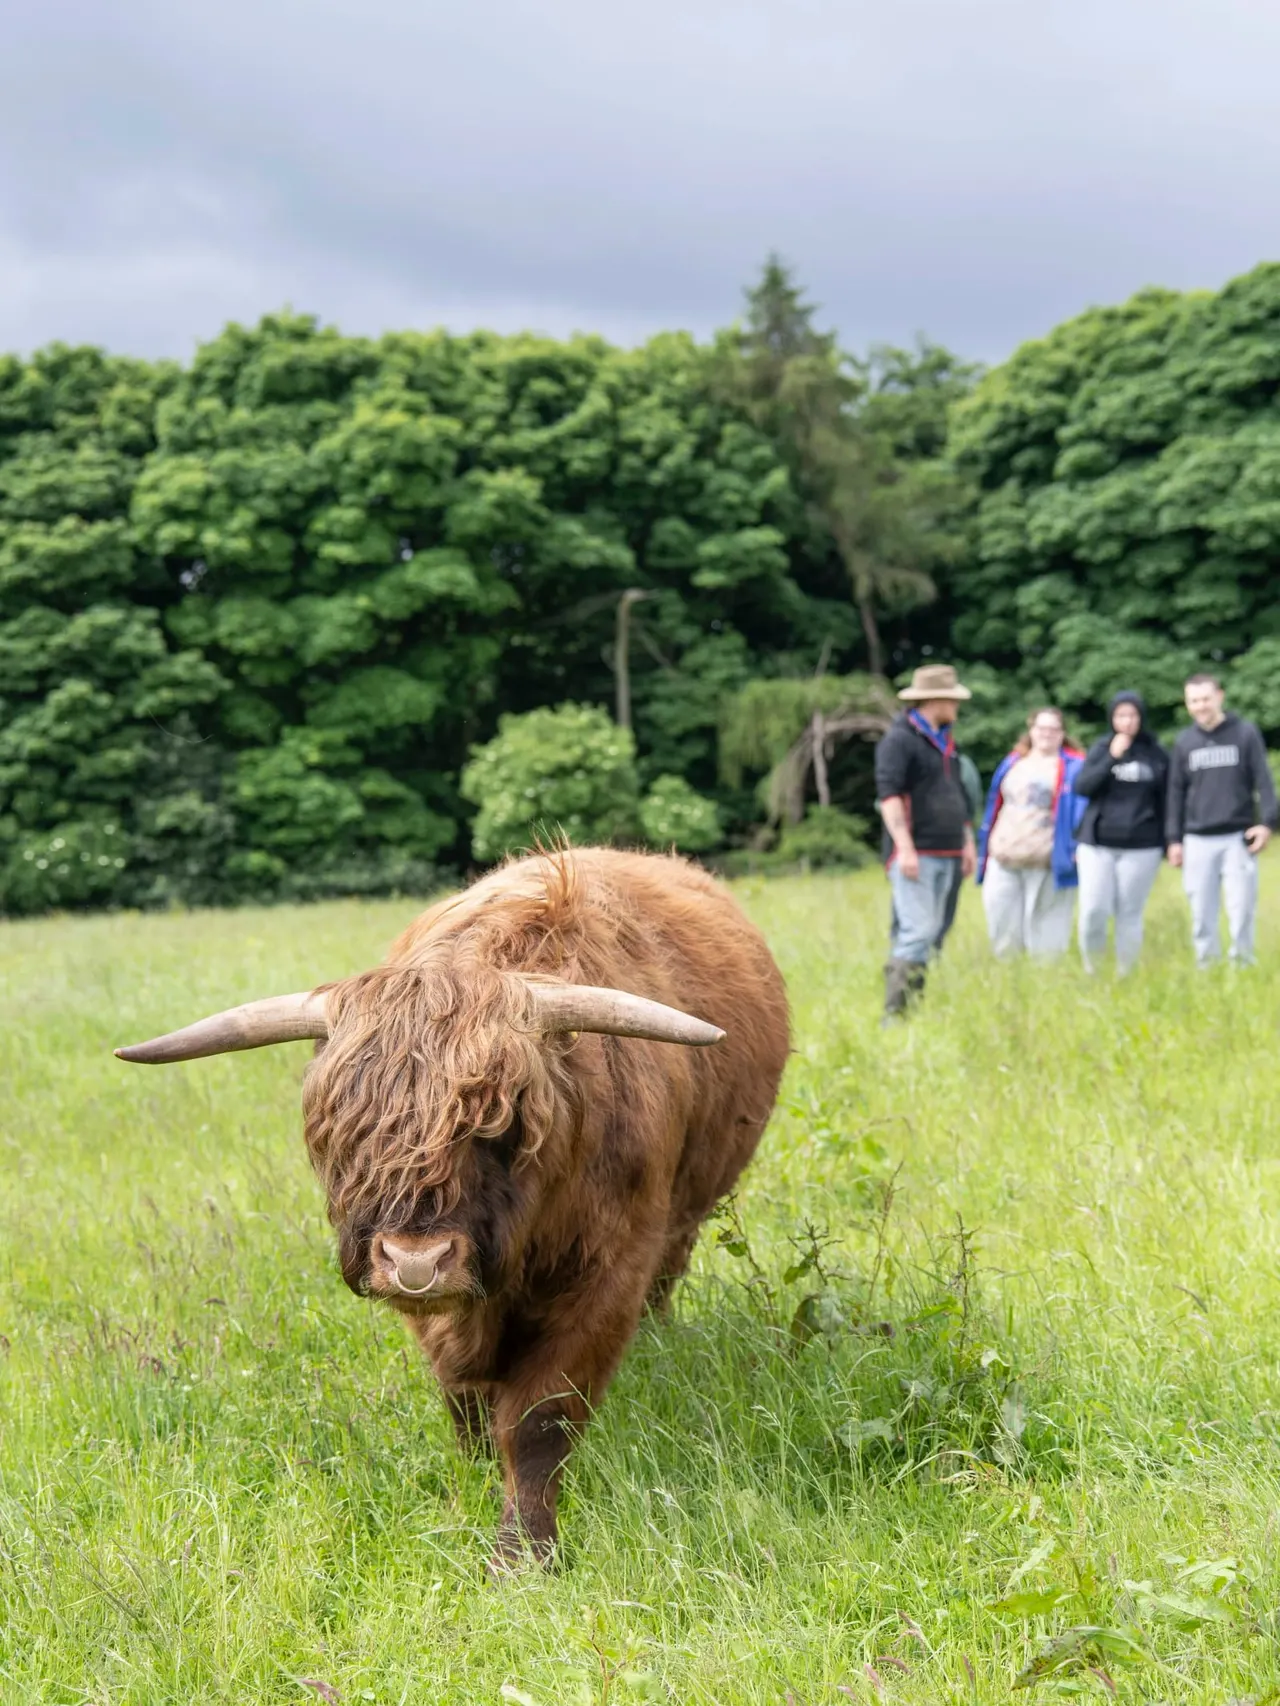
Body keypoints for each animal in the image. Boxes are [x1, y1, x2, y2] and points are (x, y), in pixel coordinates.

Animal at [115, 847, 790, 1568]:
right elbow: (466, 1402)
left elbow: (539, 1419)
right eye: (340, 1131)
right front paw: (473, 1479)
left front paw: (522, 1554)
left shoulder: (608, 1274)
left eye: (501, 1125)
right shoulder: (443, 1315)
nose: (416, 1261)